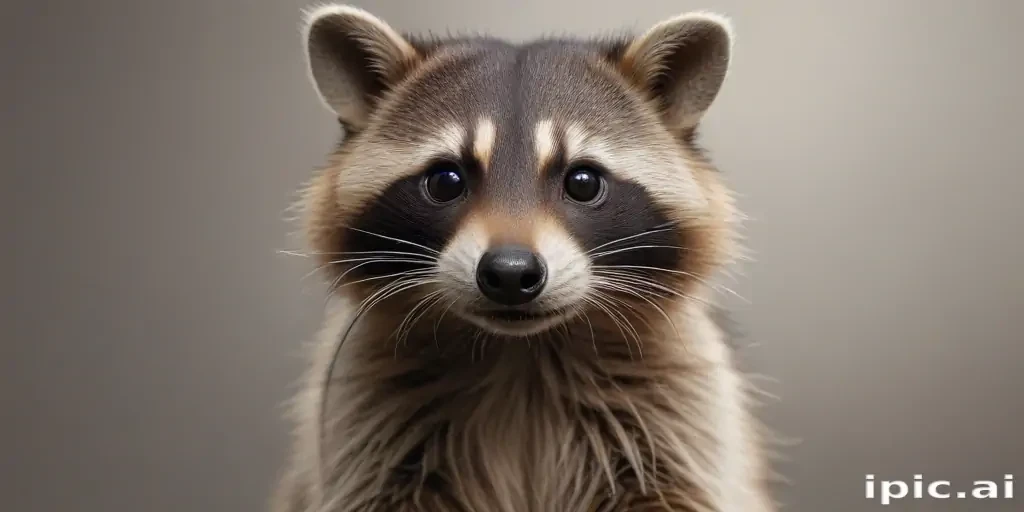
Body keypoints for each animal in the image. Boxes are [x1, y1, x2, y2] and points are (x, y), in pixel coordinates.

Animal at [274, 4, 775, 511]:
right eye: (446, 181)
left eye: (583, 182)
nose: (510, 273)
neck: (520, 353)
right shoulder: (363, 428)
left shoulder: (683, 420)